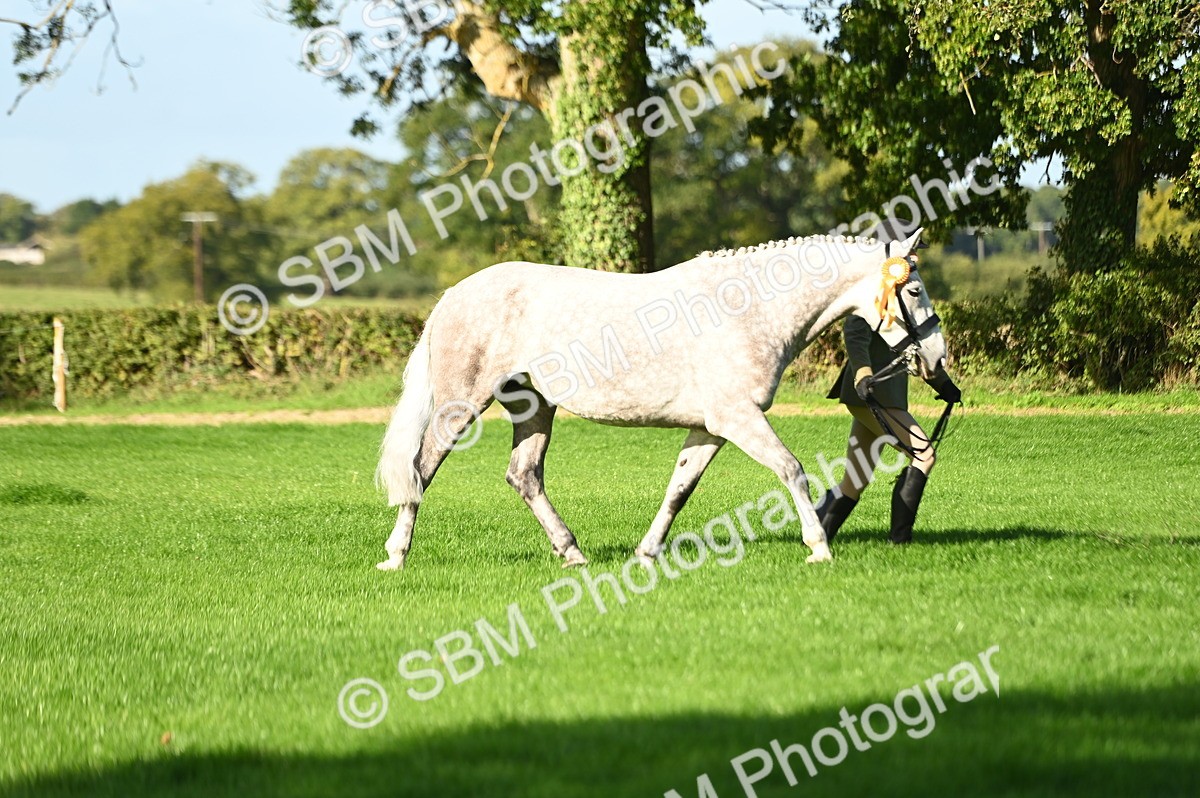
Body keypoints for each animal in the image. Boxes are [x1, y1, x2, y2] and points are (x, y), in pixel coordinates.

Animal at [375, 227, 946, 571]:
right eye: (914, 290)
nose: (937, 359)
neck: (747, 310)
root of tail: (454, 293)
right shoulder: (738, 419)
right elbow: (792, 469)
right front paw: (818, 548)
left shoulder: (710, 428)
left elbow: (679, 489)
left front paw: (647, 553)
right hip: (461, 405)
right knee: (421, 468)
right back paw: (396, 556)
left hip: (534, 407)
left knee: (524, 476)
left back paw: (572, 553)